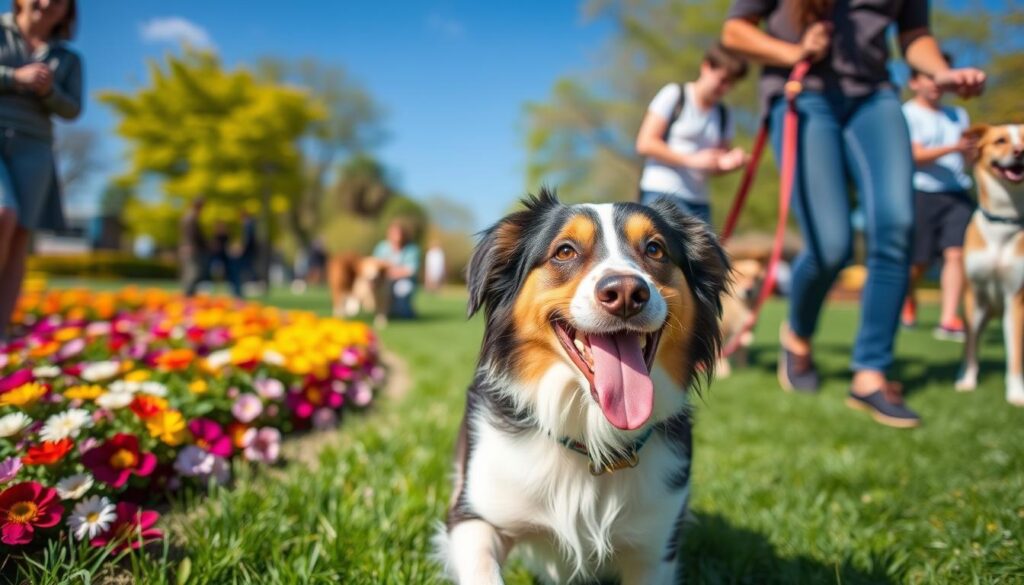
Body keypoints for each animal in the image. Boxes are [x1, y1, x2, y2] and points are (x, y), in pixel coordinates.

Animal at [432, 189, 729, 581]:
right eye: (565, 251)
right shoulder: (474, 515)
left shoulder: (654, 550)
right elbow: (483, 568)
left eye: (655, 249)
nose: (626, 292)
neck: (592, 433)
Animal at [950, 123, 1024, 407]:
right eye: (1000, 140)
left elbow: (1015, 354)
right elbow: (971, 346)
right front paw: (967, 382)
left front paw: (1016, 394)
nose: (1020, 151)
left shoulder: (1016, 299)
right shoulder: (976, 299)